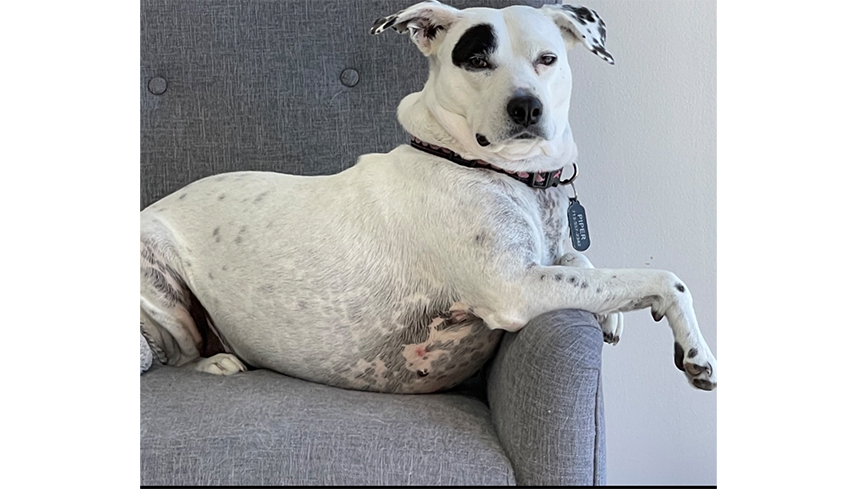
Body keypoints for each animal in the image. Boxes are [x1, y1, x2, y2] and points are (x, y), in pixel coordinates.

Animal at [139, 1, 716, 392]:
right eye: (476, 60)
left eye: (548, 58)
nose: (526, 107)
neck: (499, 171)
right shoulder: (515, 286)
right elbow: (662, 278)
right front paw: (695, 350)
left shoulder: (543, 259)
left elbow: (584, 264)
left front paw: (609, 312)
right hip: (164, 289)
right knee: (172, 357)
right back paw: (215, 362)